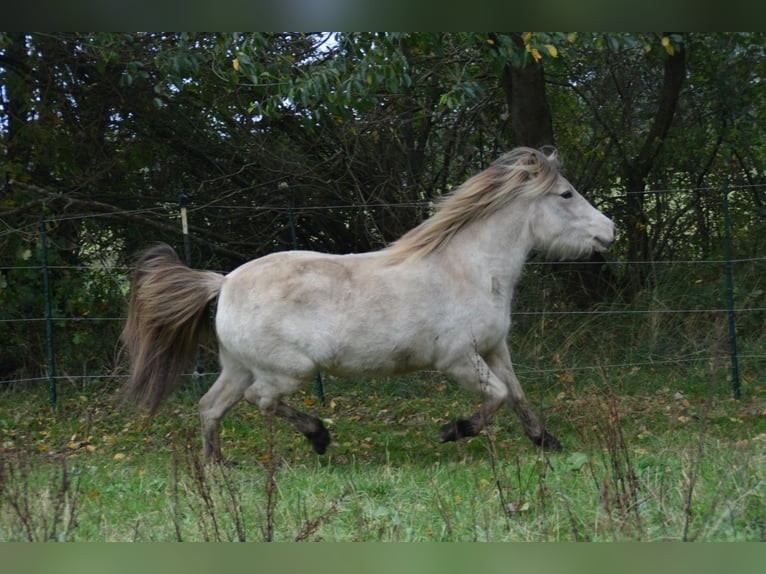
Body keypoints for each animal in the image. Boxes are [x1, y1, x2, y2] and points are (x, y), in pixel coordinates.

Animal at [121, 147, 616, 463]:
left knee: (211, 406)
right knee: (258, 400)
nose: (609, 232)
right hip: (287, 370)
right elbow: (495, 397)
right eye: (566, 194)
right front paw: (451, 431)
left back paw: (218, 467)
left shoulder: (495, 349)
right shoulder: (458, 359)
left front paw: (547, 443)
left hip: (239, 365)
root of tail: (223, 282)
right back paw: (318, 437)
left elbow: (517, 395)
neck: (472, 269)